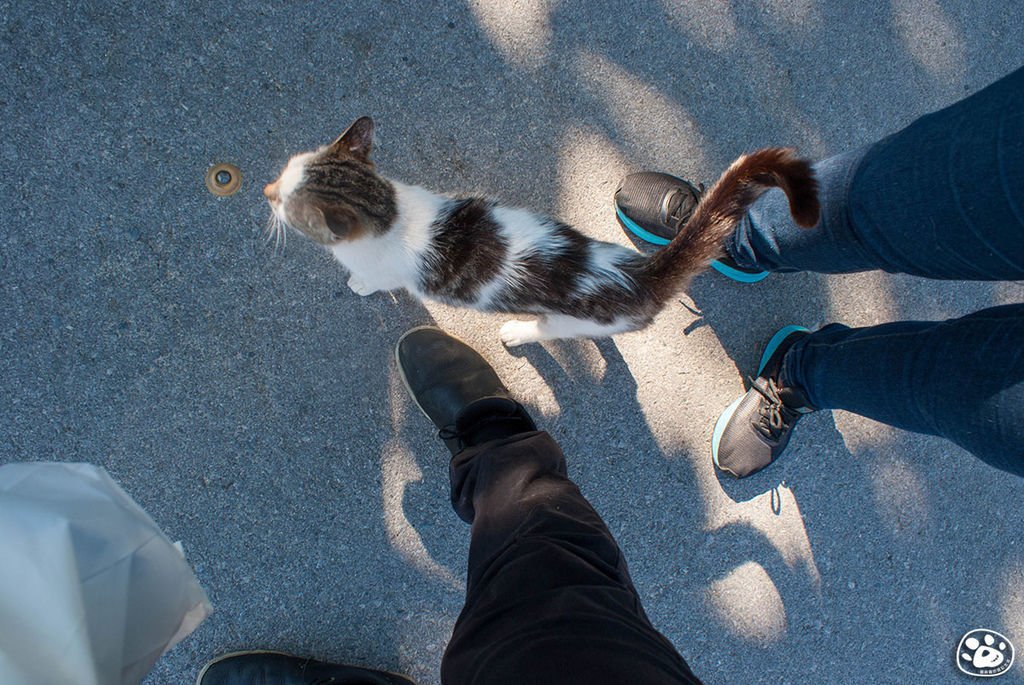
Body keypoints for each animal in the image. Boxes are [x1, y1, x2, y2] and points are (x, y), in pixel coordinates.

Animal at [262, 115, 815, 348]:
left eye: (288, 205)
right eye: (283, 171)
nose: (265, 191)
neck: (388, 206)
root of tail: (643, 274)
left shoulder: (384, 269)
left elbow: (372, 281)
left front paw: (357, 284)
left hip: (573, 321)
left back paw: (517, 333)